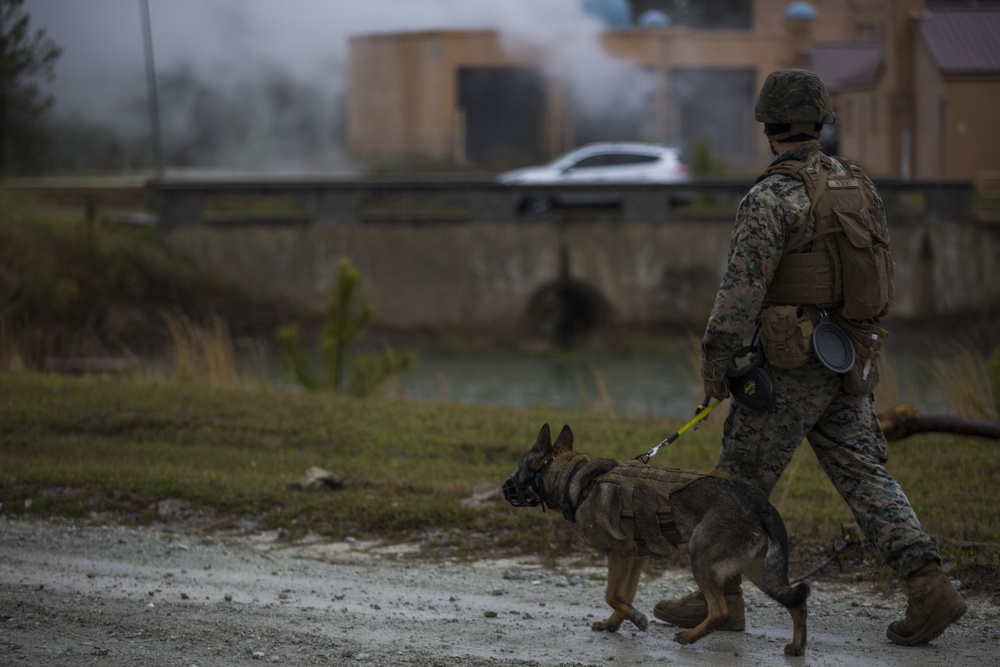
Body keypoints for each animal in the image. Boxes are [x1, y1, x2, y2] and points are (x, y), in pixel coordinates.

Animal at [504, 426, 808, 656]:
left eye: (519, 468)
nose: (504, 488)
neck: (575, 479)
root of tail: (760, 504)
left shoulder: (621, 552)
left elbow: (611, 595)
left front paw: (636, 619)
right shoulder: (635, 557)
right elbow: (623, 595)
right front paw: (616, 623)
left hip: (701, 558)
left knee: (720, 611)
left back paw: (689, 637)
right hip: (757, 570)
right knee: (796, 601)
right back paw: (797, 646)